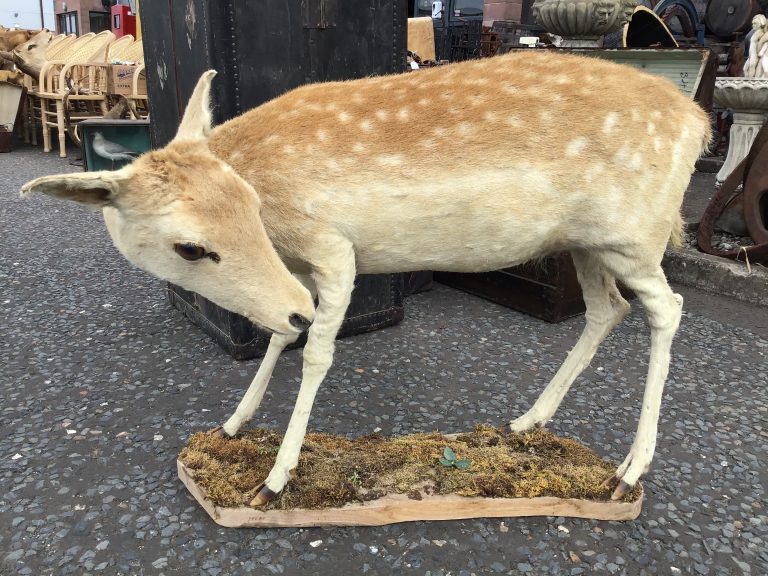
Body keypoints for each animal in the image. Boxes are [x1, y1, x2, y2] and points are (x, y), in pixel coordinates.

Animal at [21, 50, 710, 506]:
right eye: (191, 246)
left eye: (249, 203)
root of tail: (698, 122)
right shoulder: (296, 269)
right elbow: (282, 332)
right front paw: (233, 424)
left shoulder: (332, 247)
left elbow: (315, 351)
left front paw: (275, 481)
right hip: (588, 245)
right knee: (608, 309)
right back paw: (527, 423)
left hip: (634, 236)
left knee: (668, 308)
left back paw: (627, 472)